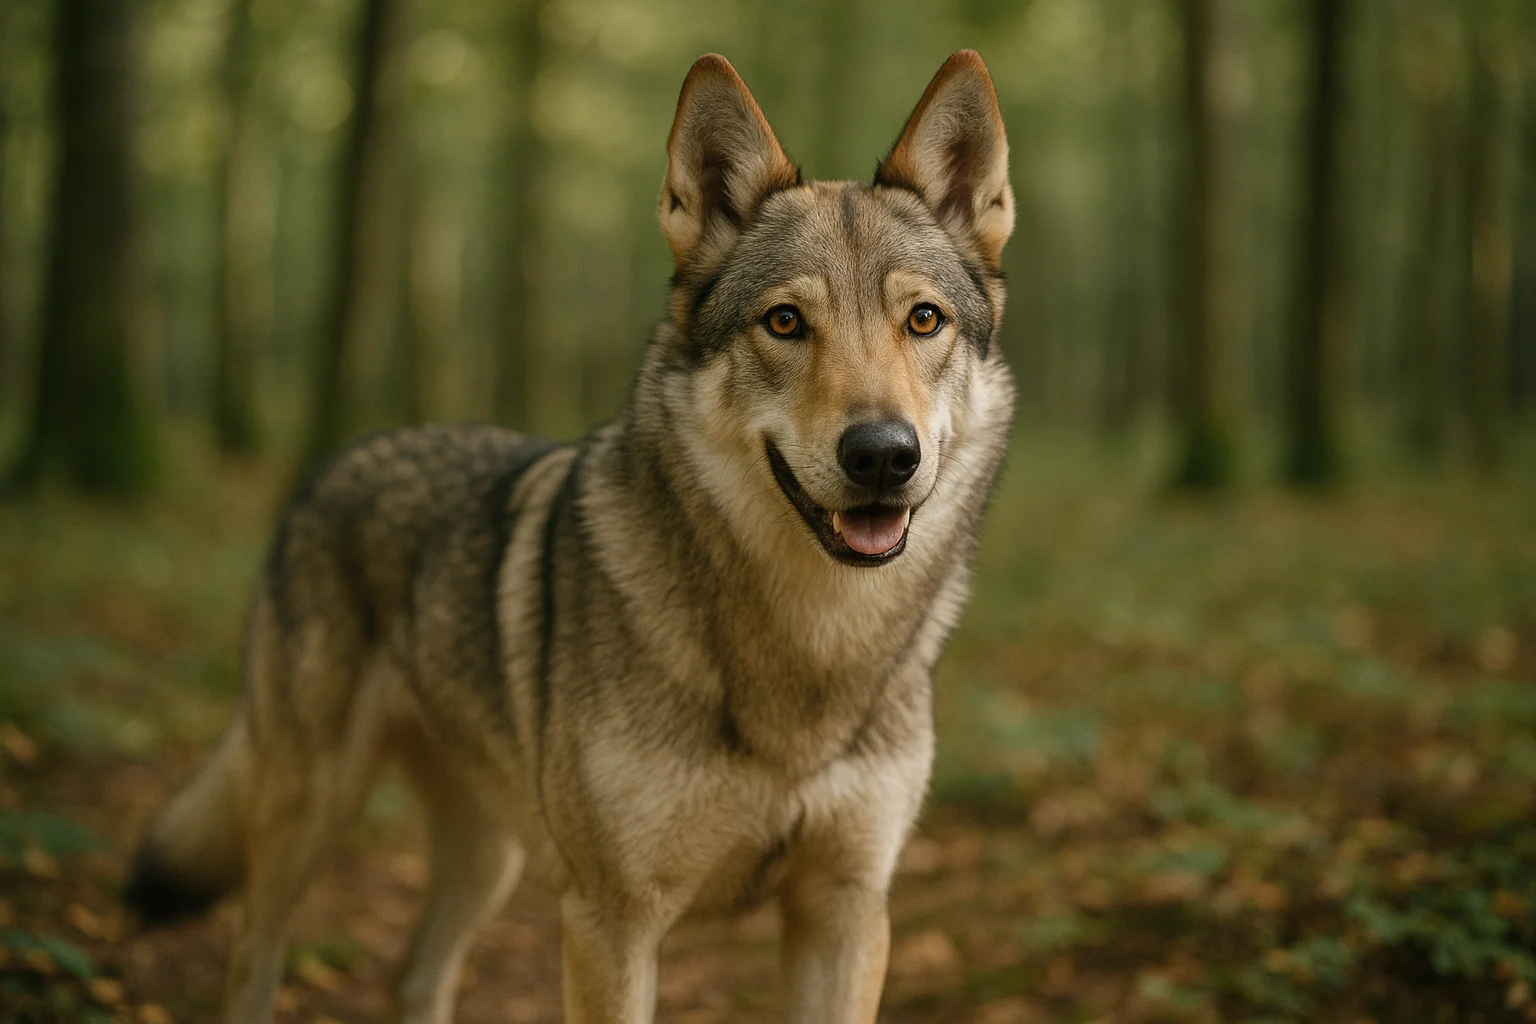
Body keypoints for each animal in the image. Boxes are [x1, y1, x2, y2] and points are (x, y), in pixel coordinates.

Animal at [126, 49, 1016, 1024]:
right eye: (785, 322)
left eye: (923, 320)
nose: (883, 454)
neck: (812, 653)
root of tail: (339, 456)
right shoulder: (611, 920)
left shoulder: (847, 913)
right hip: (309, 815)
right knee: (254, 954)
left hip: (490, 852)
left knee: (415, 975)